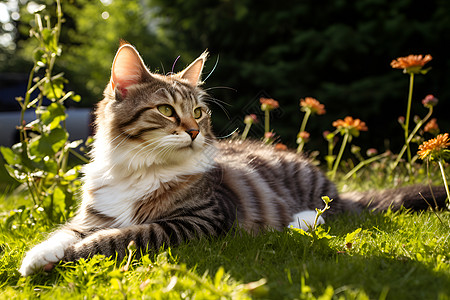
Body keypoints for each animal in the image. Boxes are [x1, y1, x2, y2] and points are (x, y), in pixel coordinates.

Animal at [18, 42, 446, 276]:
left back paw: (299, 221)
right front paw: (39, 257)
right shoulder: (92, 214)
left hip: (315, 196)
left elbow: (127, 235)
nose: (194, 132)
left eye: (199, 112)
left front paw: (79, 252)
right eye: (167, 111)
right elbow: (64, 232)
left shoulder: (203, 217)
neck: (141, 167)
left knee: (331, 213)